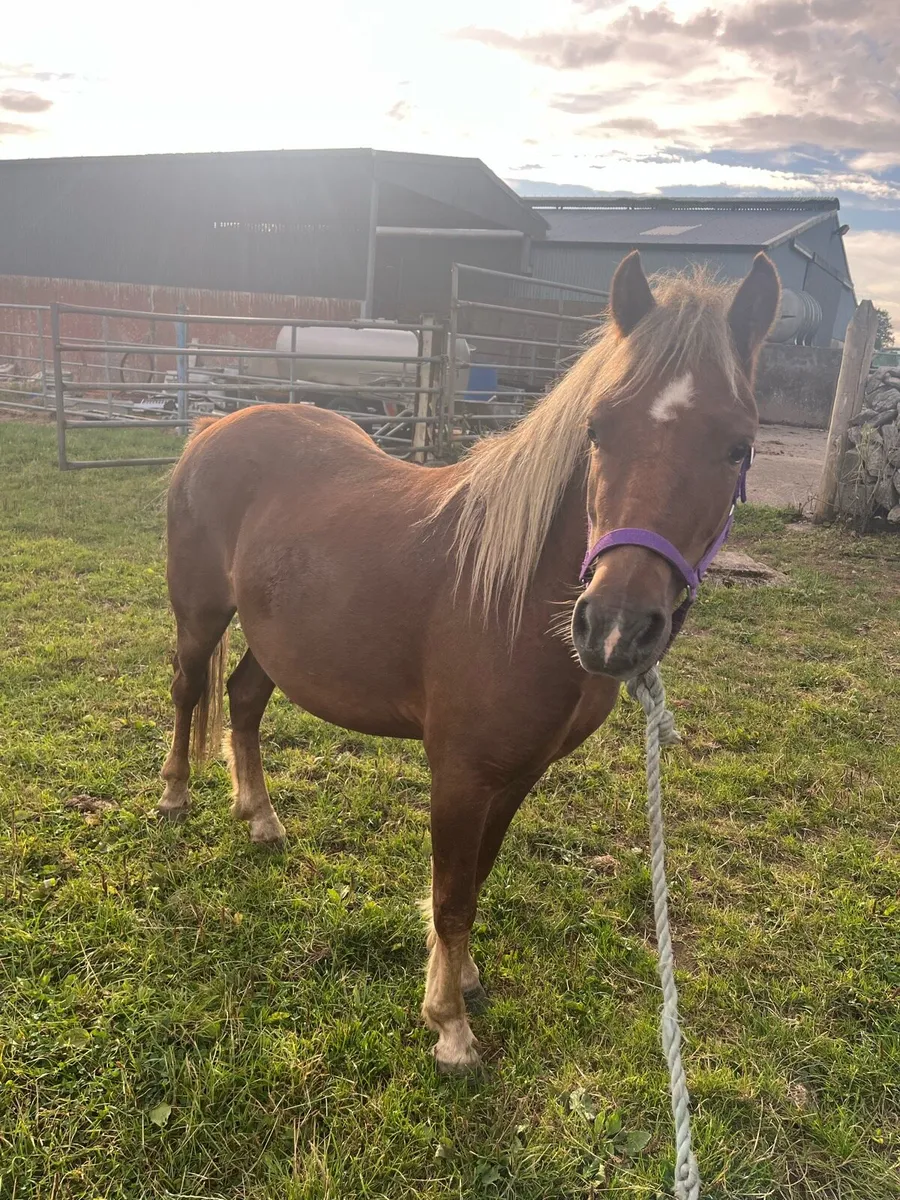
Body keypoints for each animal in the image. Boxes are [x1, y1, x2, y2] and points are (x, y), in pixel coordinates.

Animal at [159, 250, 780, 1073]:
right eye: (598, 429)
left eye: (738, 445)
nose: (614, 628)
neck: (513, 591)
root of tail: (216, 425)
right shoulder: (459, 774)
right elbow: (452, 894)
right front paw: (448, 1023)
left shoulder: (516, 775)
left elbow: (476, 880)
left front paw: (464, 980)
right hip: (199, 616)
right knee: (187, 689)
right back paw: (174, 796)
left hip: (279, 643)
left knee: (244, 699)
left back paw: (260, 817)